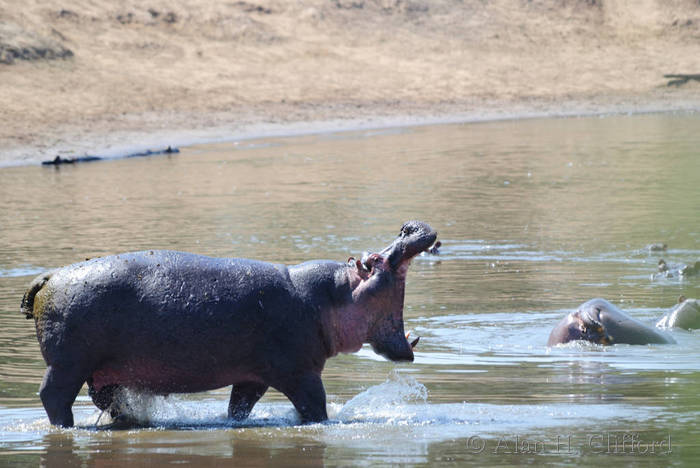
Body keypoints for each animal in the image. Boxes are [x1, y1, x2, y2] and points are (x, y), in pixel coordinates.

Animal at [21, 221, 437, 427]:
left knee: (106, 400)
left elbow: (239, 408)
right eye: (376, 261)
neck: (333, 295)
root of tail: (48, 276)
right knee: (53, 395)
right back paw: (66, 427)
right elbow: (315, 407)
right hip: (68, 364)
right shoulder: (300, 372)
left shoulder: (253, 377)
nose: (408, 226)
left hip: (101, 372)